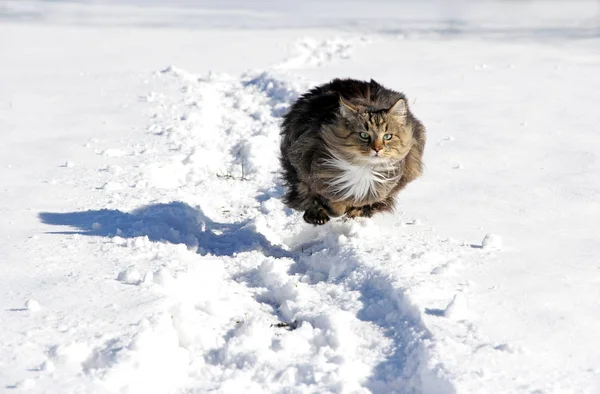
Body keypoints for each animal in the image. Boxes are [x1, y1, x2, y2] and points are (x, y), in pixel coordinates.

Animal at [278, 77, 424, 225]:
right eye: (364, 135)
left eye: (387, 136)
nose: (377, 148)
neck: (363, 168)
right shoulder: (308, 165)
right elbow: (326, 199)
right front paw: (330, 210)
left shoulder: (386, 186)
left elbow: (365, 202)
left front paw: (354, 213)